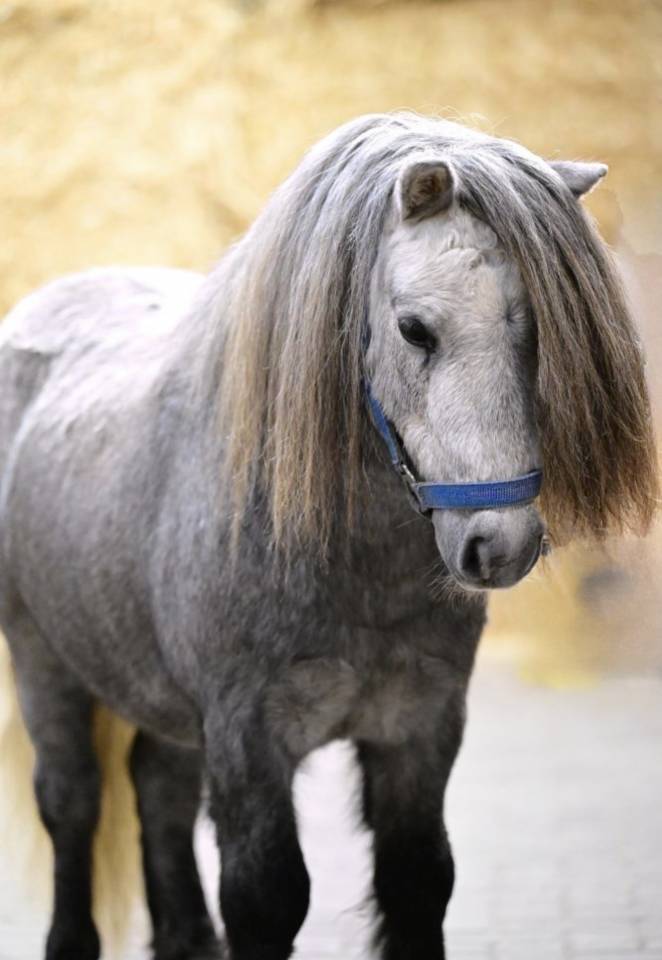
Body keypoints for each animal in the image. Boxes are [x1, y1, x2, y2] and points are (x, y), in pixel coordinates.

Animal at [0, 112, 657, 960]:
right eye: (414, 328)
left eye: (540, 327)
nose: (501, 544)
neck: (344, 567)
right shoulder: (250, 743)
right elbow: (266, 898)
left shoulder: (418, 731)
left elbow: (418, 882)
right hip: (41, 659)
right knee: (73, 802)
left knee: (159, 789)